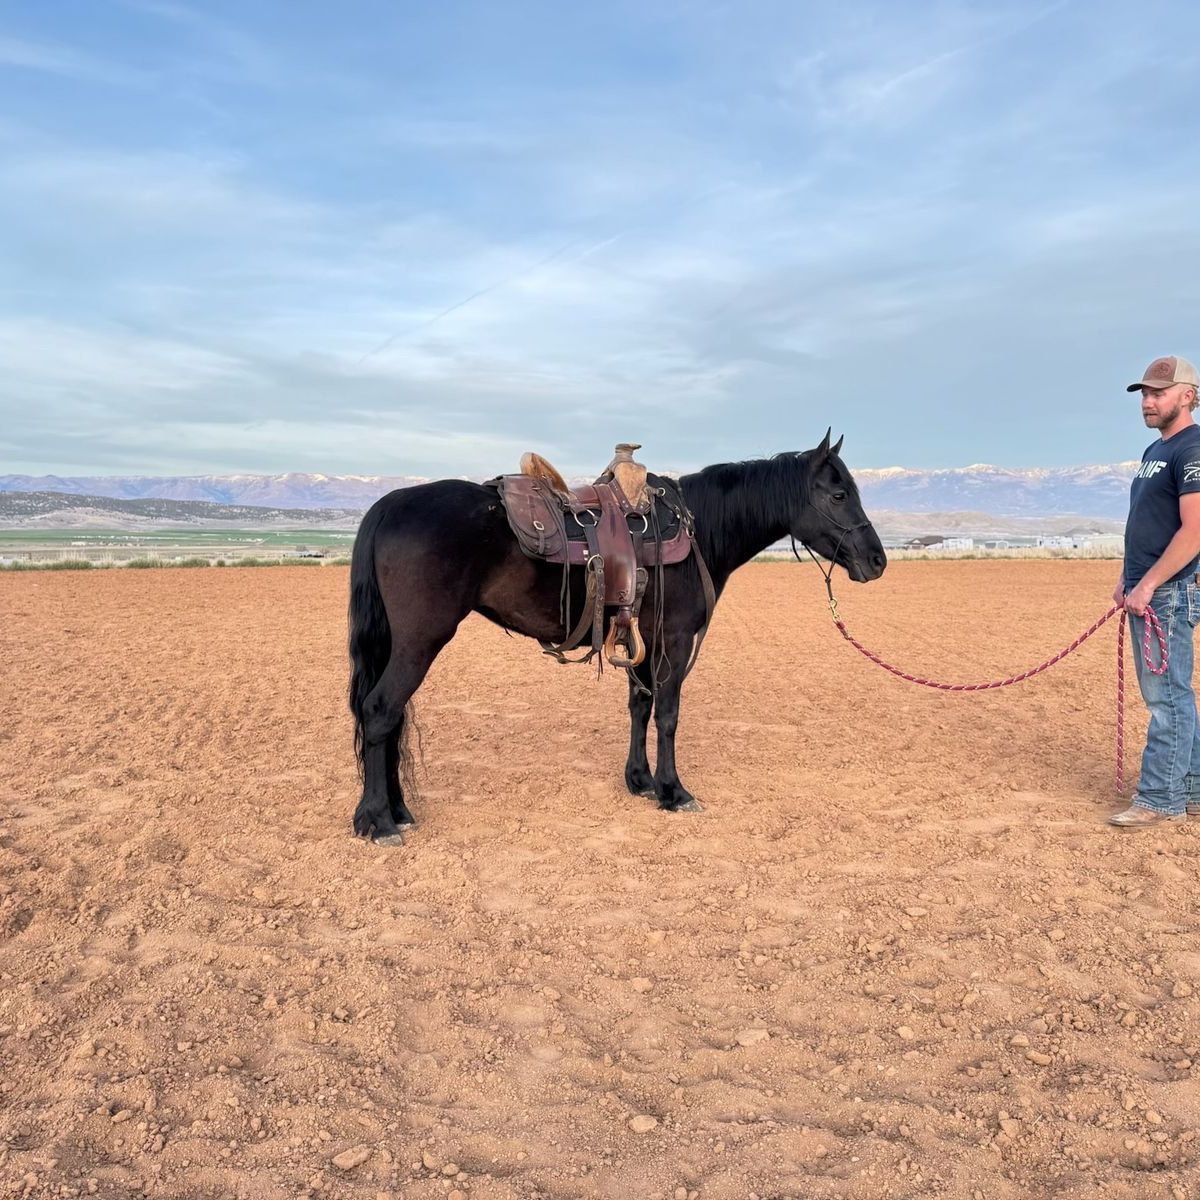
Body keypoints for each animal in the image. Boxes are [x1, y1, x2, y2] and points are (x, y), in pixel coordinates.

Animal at [347, 430, 886, 844]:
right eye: (839, 495)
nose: (877, 560)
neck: (698, 530)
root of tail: (389, 504)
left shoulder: (640, 639)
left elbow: (639, 706)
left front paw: (640, 780)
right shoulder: (673, 641)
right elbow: (667, 714)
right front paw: (673, 791)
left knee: (390, 717)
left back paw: (397, 811)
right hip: (420, 641)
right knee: (381, 711)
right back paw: (379, 821)